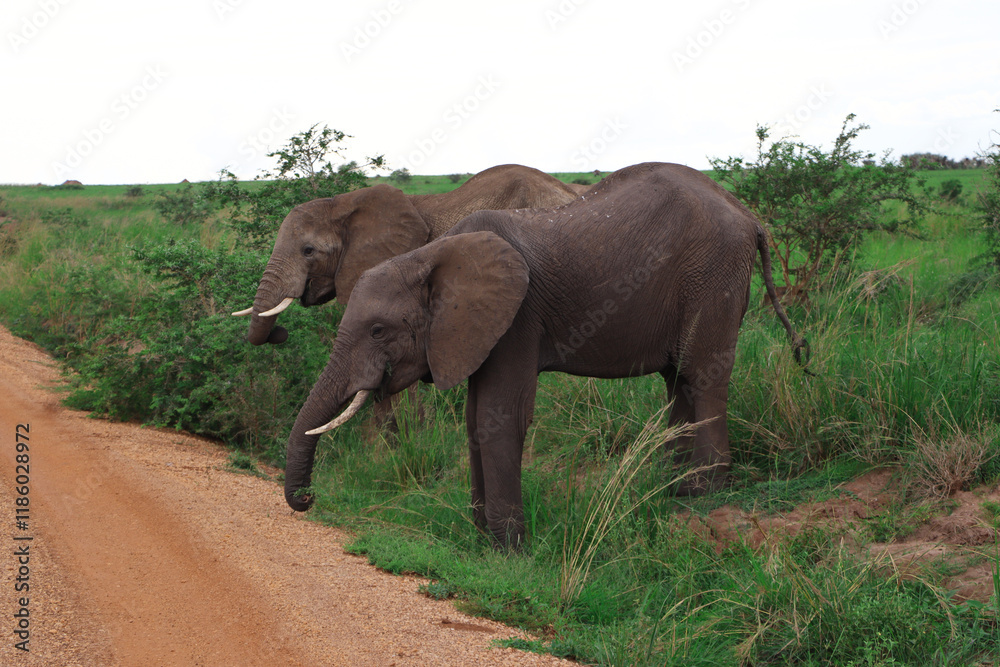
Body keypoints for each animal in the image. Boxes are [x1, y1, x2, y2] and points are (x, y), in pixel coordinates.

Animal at [282, 162, 808, 548]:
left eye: (378, 330)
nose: (308, 499)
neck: (431, 256)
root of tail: (749, 216)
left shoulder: (517, 317)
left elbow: (500, 416)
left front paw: (509, 548)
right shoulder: (477, 329)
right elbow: (475, 418)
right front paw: (483, 536)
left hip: (713, 274)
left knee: (703, 376)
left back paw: (702, 494)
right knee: (676, 378)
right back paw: (670, 487)